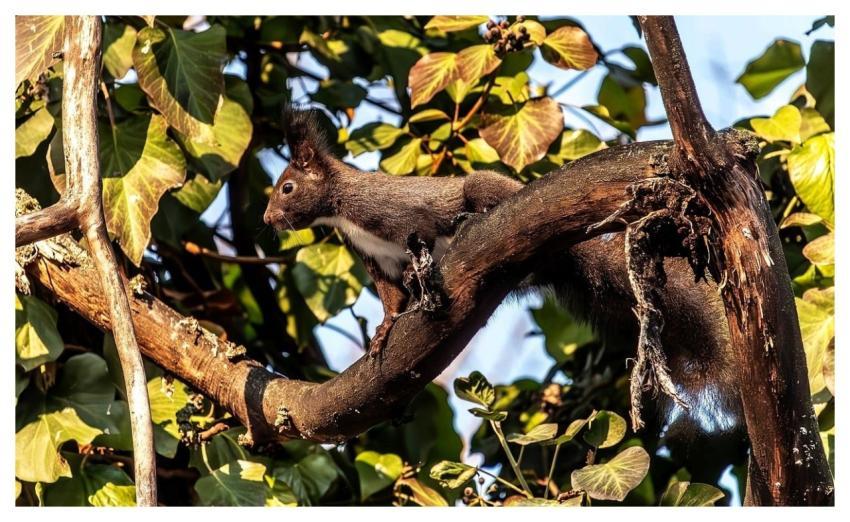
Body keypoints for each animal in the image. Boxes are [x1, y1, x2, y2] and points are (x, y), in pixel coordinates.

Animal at [263, 109, 742, 438]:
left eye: (287, 187)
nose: (267, 219)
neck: (342, 211)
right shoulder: (378, 261)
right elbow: (391, 301)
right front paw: (381, 334)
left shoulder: (399, 217)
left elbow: (419, 246)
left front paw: (420, 287)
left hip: (482, 188)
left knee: (482, 198)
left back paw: (472, 224)